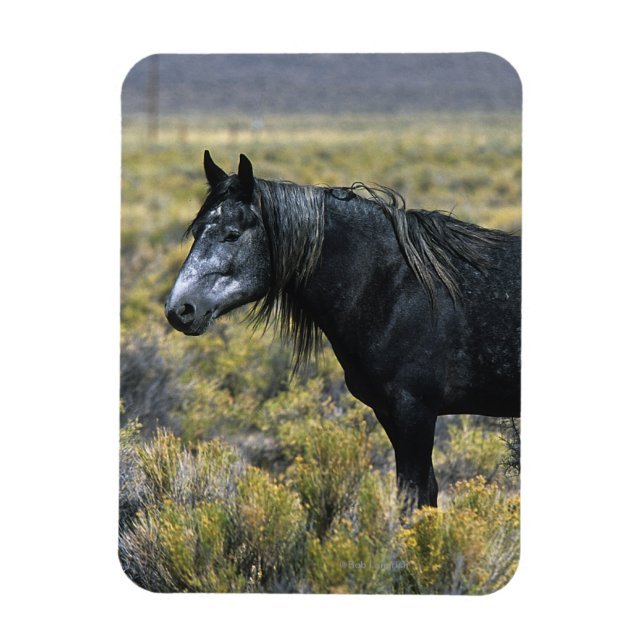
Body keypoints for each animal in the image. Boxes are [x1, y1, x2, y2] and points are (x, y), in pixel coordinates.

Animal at [165, 152, 521, 507]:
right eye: (196, 232)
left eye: (233, 234)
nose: (179, 309)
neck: (396, 286)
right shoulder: (389, 412)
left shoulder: (415, 410)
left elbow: (414, 495)